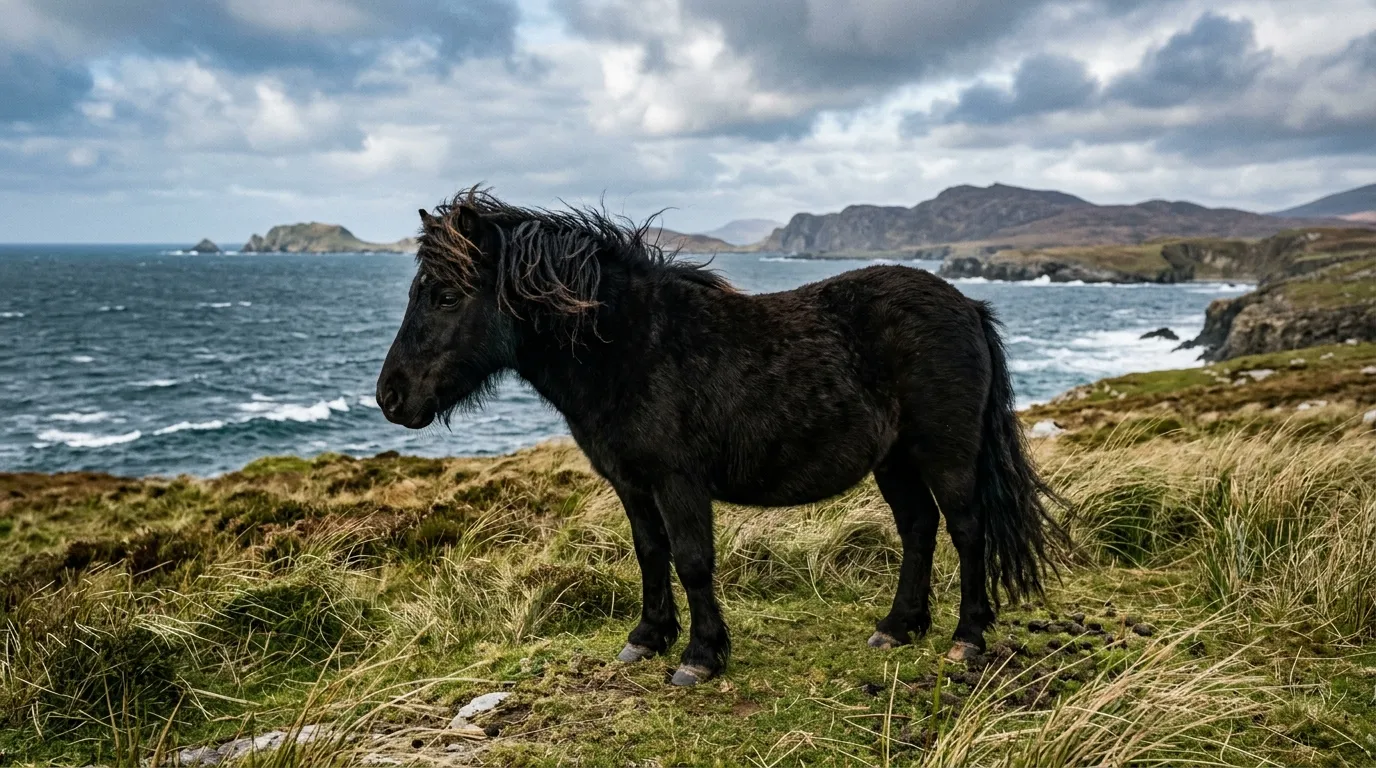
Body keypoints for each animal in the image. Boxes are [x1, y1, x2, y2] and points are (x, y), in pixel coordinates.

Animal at [376, 188, 1066, 686]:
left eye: (445, 296)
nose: (391, 397)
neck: (632, 348)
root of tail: (967, 305)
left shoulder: (679, 482)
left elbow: (692, 560)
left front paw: (700, 658)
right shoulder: (631, 482)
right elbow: (650, 553)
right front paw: (647, 638)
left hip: (945, 453)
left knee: (966, 528)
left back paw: (965, 639)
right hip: (894, 460)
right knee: (918, 528)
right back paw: (898, 627)